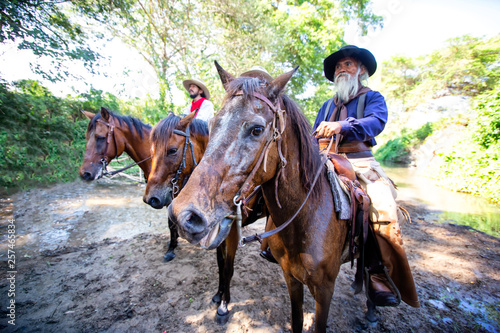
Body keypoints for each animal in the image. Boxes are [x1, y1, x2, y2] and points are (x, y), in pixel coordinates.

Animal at [144, 112, 266, 322]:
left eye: (172, 150)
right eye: (151, 150)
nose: (151, 198)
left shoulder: (232, 233)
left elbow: (228, 267)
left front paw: (224, 305)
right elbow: (220, 263)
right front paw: (218, 295)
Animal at [168, 63, 348, 332]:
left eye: (257, 129)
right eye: (212, 125)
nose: (183, 215)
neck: (310, 215)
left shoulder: (325, 289)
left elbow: (227, 266)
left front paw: (223, 305)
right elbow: (222, 264)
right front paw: (218, 297)